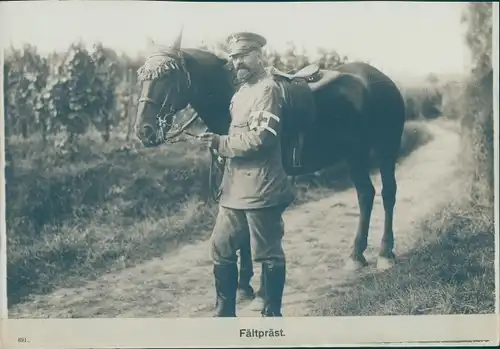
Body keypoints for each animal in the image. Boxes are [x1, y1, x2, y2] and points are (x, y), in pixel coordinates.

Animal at [136, 35, 406, 280]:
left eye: (167, 75)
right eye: (143, 77)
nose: (143, 131)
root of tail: (381, 79)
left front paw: (245, 283)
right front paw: (244, 283)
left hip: (386, 149)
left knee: (388, 194)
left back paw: (385, 254)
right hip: (354, 155)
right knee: (366, 195)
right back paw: (356, 255)